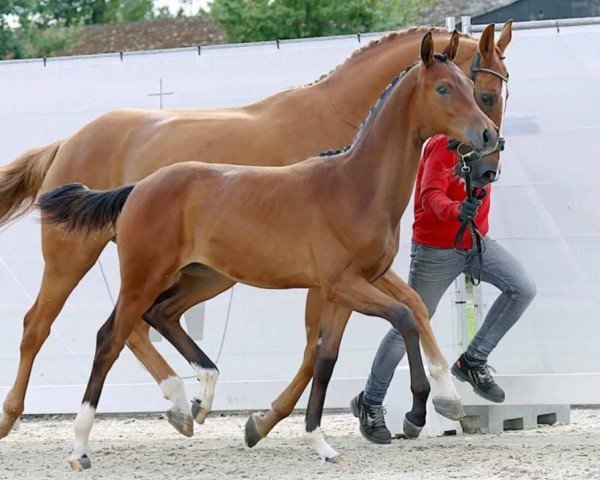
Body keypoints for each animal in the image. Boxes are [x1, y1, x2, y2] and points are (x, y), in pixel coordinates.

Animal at [0, 24, 510, 440]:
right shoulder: (335, 282)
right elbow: (333, 341)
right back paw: (14, 416)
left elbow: (409, 309)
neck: (350, 168)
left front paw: (443, 396)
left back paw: (186, 402)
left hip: (203, 274)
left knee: (147, 321)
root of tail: (67, 141)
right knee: (43, 325)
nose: (489, 158)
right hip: (75, 256)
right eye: (477, 91)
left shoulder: (354, 279)